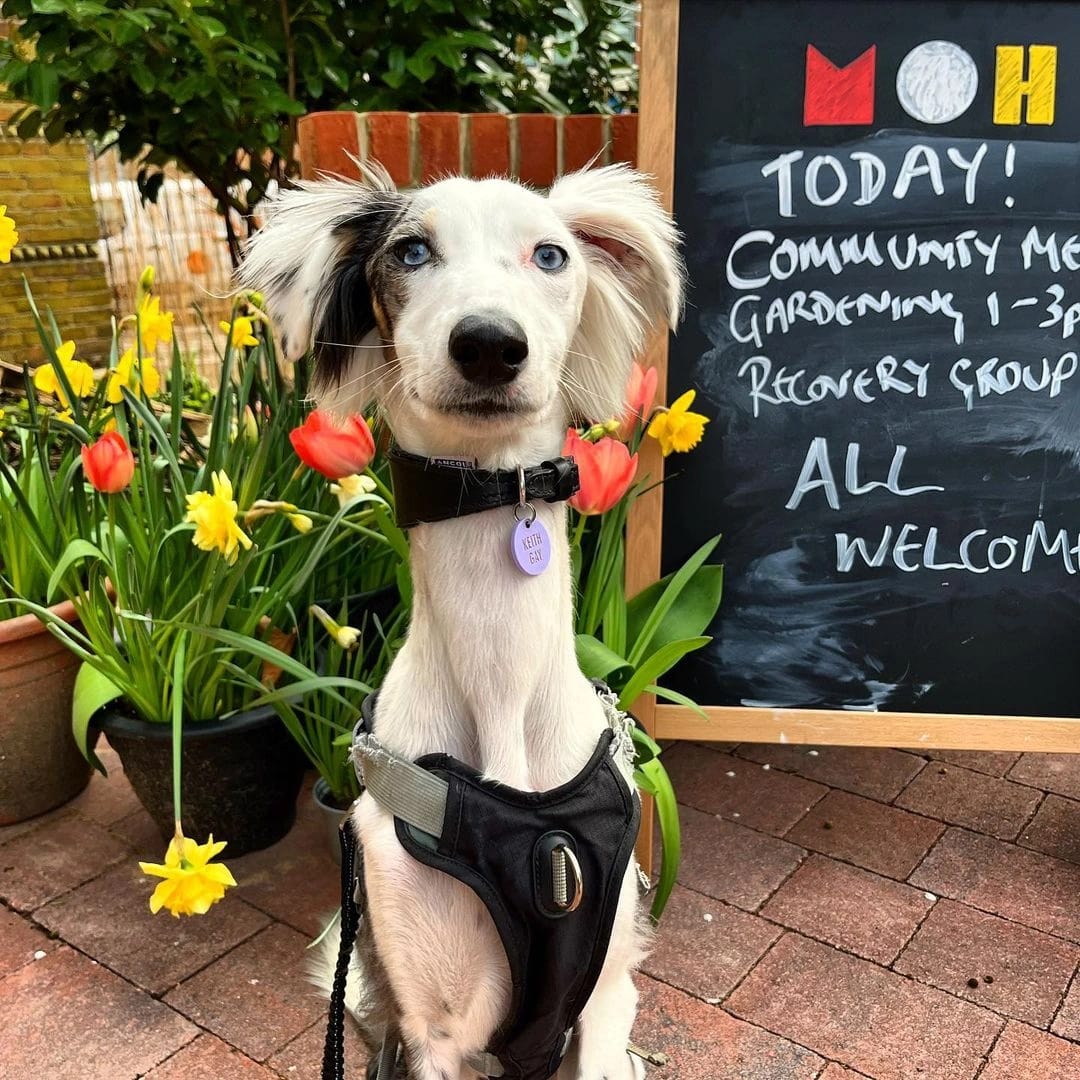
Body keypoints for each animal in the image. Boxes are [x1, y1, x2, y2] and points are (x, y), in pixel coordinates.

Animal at [245, 162, 682, 1080]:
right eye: (411, 251)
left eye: (551, 254)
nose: (488, 342)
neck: (500, 689)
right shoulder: (434, 1029)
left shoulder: (603, 999)